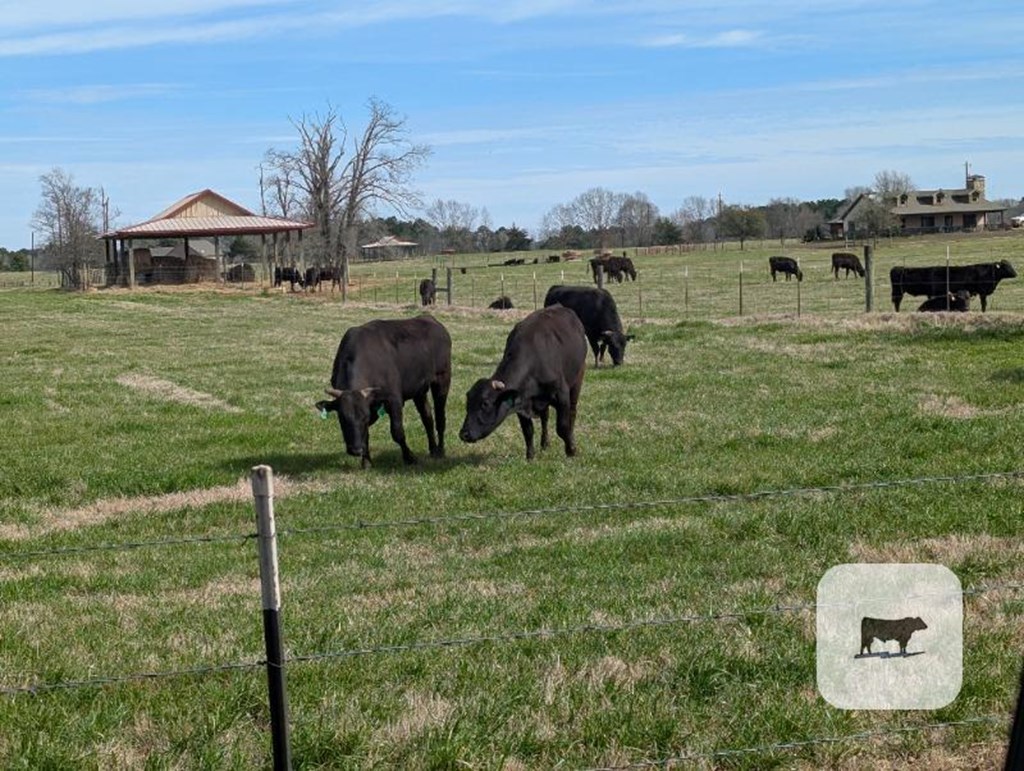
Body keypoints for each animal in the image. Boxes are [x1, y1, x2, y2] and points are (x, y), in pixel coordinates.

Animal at [315, 313, 452, 468]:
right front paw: (367, 462)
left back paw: (440, 450)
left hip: (442, 379)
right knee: (427, 417)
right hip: (419, 390)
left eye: (365, 417)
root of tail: (428, 318)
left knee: (440, 417)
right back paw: (433, 449)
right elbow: (366, 434)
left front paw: (410, 458)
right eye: (342, 418)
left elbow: (397, 432)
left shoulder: (394, 400)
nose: (356, 450)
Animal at [460, 305, 589, 460]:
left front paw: (571, 450)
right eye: (468, 403)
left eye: (485, 404)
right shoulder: (520, 403)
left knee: (572, 413)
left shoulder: (561, 395)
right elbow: (528, 431)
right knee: (545, 417)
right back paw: (545, 443)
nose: (464, 434)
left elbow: (562, 427)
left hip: (578, 378)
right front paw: (530, 456)